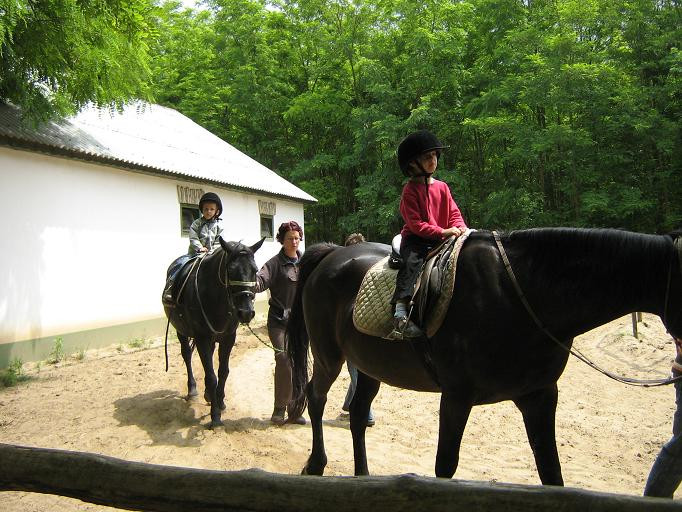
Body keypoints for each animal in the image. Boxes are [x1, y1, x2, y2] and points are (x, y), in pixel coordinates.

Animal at [162, 237, 262, 428]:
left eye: (255, 270)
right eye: (230, 270)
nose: (246, 312)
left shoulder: (228, 337)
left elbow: (223, 371)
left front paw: (220, 401)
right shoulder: (202, 337)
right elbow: (210, 375)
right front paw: (215, 417)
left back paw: (209, 394)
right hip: (181, 331)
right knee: (187, 355)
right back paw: (193, 390)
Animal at [284, 228, 680, 484]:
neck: (519, 294)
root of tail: (332, 254)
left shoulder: (539, 396)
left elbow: (551, 471)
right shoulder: (457, 397)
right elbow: (445, 466)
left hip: (368, 365)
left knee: (357, 413)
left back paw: (363, 477)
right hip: (329, 356)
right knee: (316, 399)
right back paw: (315, 464)